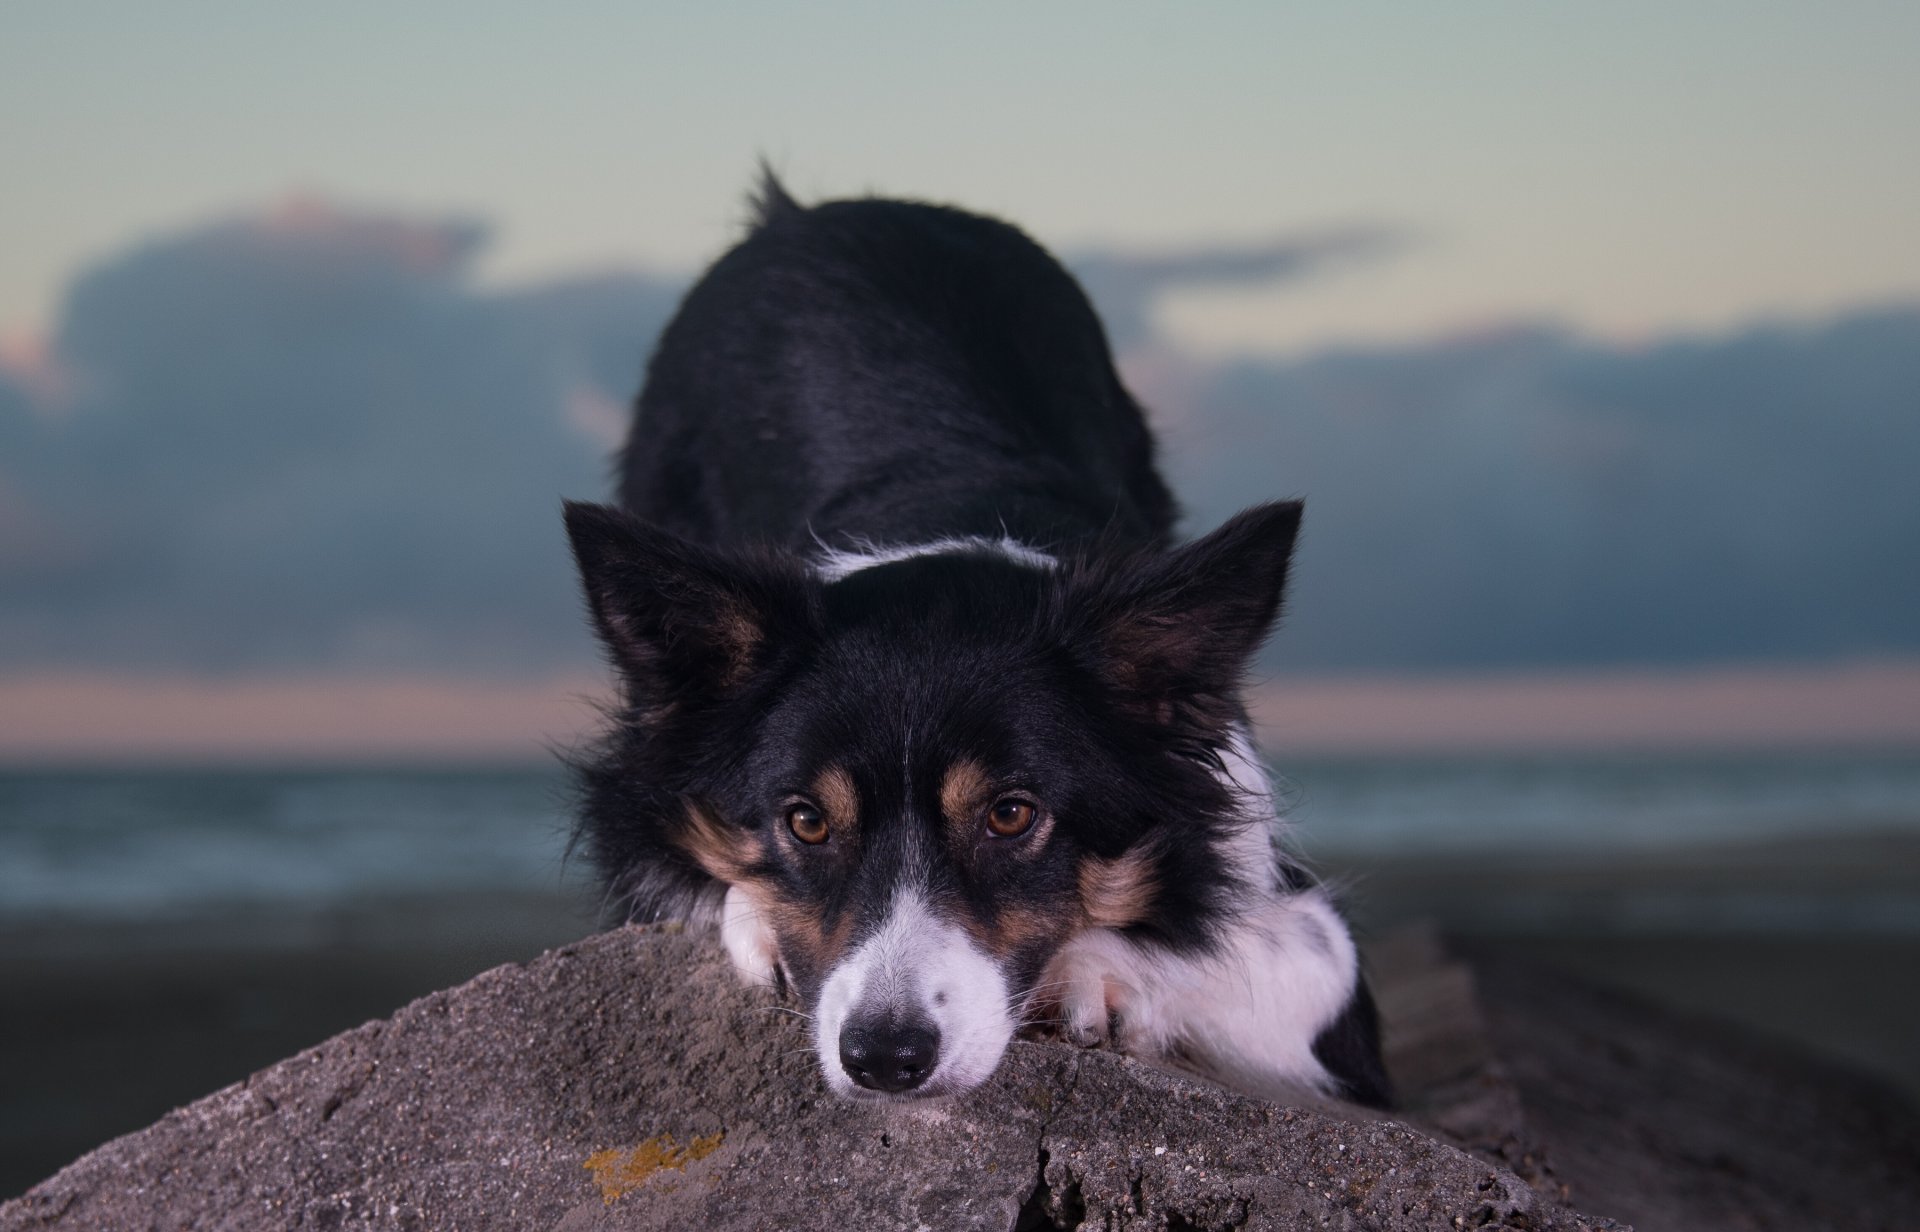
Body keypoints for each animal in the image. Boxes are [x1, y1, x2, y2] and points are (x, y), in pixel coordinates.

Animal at [560, 172, 1390, 1105]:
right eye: (805, 821)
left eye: (1011, 814)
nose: (885, 1058)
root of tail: (808, 211)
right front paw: (755, 915)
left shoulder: (1316, 950)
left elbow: (1254, 951)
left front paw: (1096, 970)